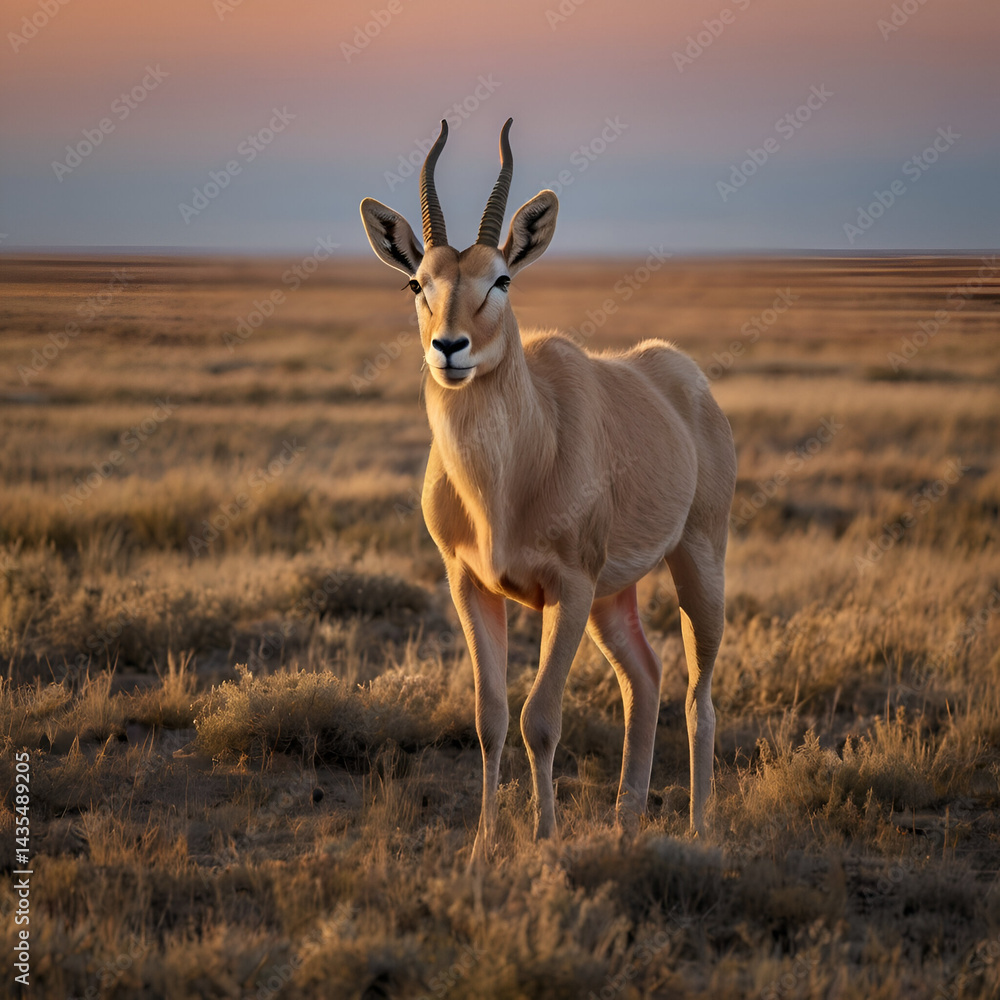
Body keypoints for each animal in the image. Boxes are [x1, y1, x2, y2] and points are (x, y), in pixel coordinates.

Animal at [360, 119, 736, 861]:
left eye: (501, 278)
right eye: (417, 282)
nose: (451, 348)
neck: (509, 480)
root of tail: (682, 378)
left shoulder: (568, 586)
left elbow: (540, 717)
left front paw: (542, 837)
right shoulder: (469, 583)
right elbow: (491, 717)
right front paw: (483, 843)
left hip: (696, 565)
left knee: (698, 694)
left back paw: (700, 829)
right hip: (614, 597)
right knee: (644, 677)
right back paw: (626, 824)